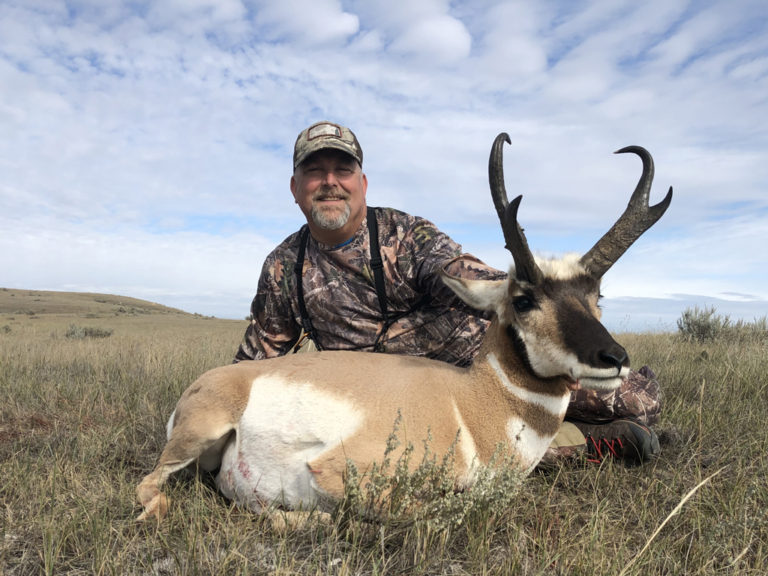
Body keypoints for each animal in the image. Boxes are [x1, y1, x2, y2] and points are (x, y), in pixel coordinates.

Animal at [136, 134, 672, 520]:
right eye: (523, 299)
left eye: (596, 296)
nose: (615, 359)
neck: (471, 403)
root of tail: (214, 380)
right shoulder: (340, 473)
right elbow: (435, 510)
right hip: (197, 435)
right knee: (149, 489)